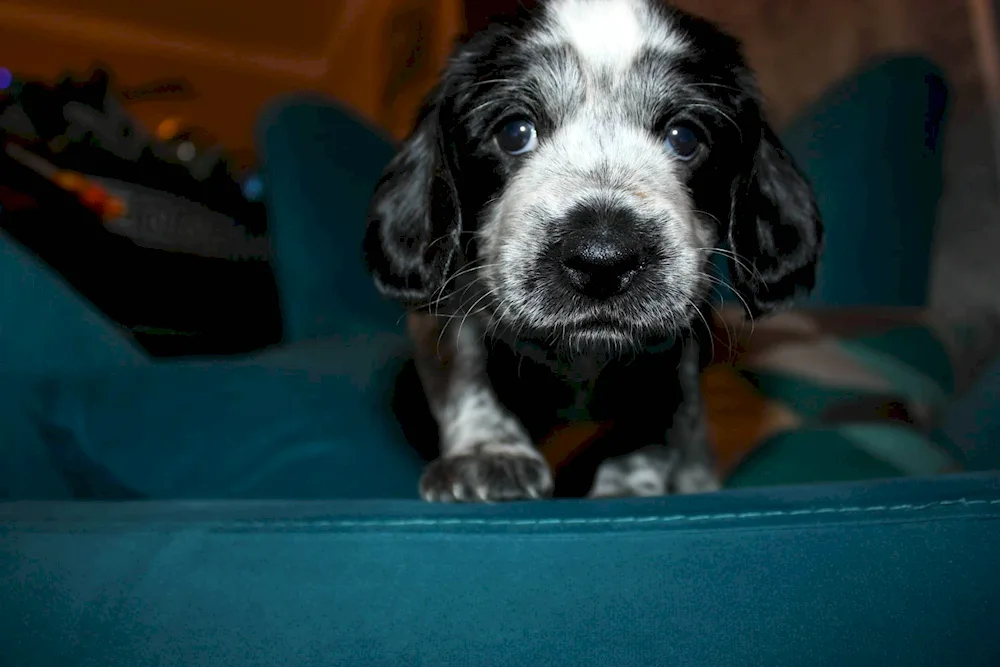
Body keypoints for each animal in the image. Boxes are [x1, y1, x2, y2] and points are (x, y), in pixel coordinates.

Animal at [360, 0, 820, 500]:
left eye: (684, 137)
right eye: (514, 132)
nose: (602, 260)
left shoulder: (672, 350)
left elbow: (656, 410)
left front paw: (629, 484)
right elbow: (469, 366)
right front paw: (489, 450)